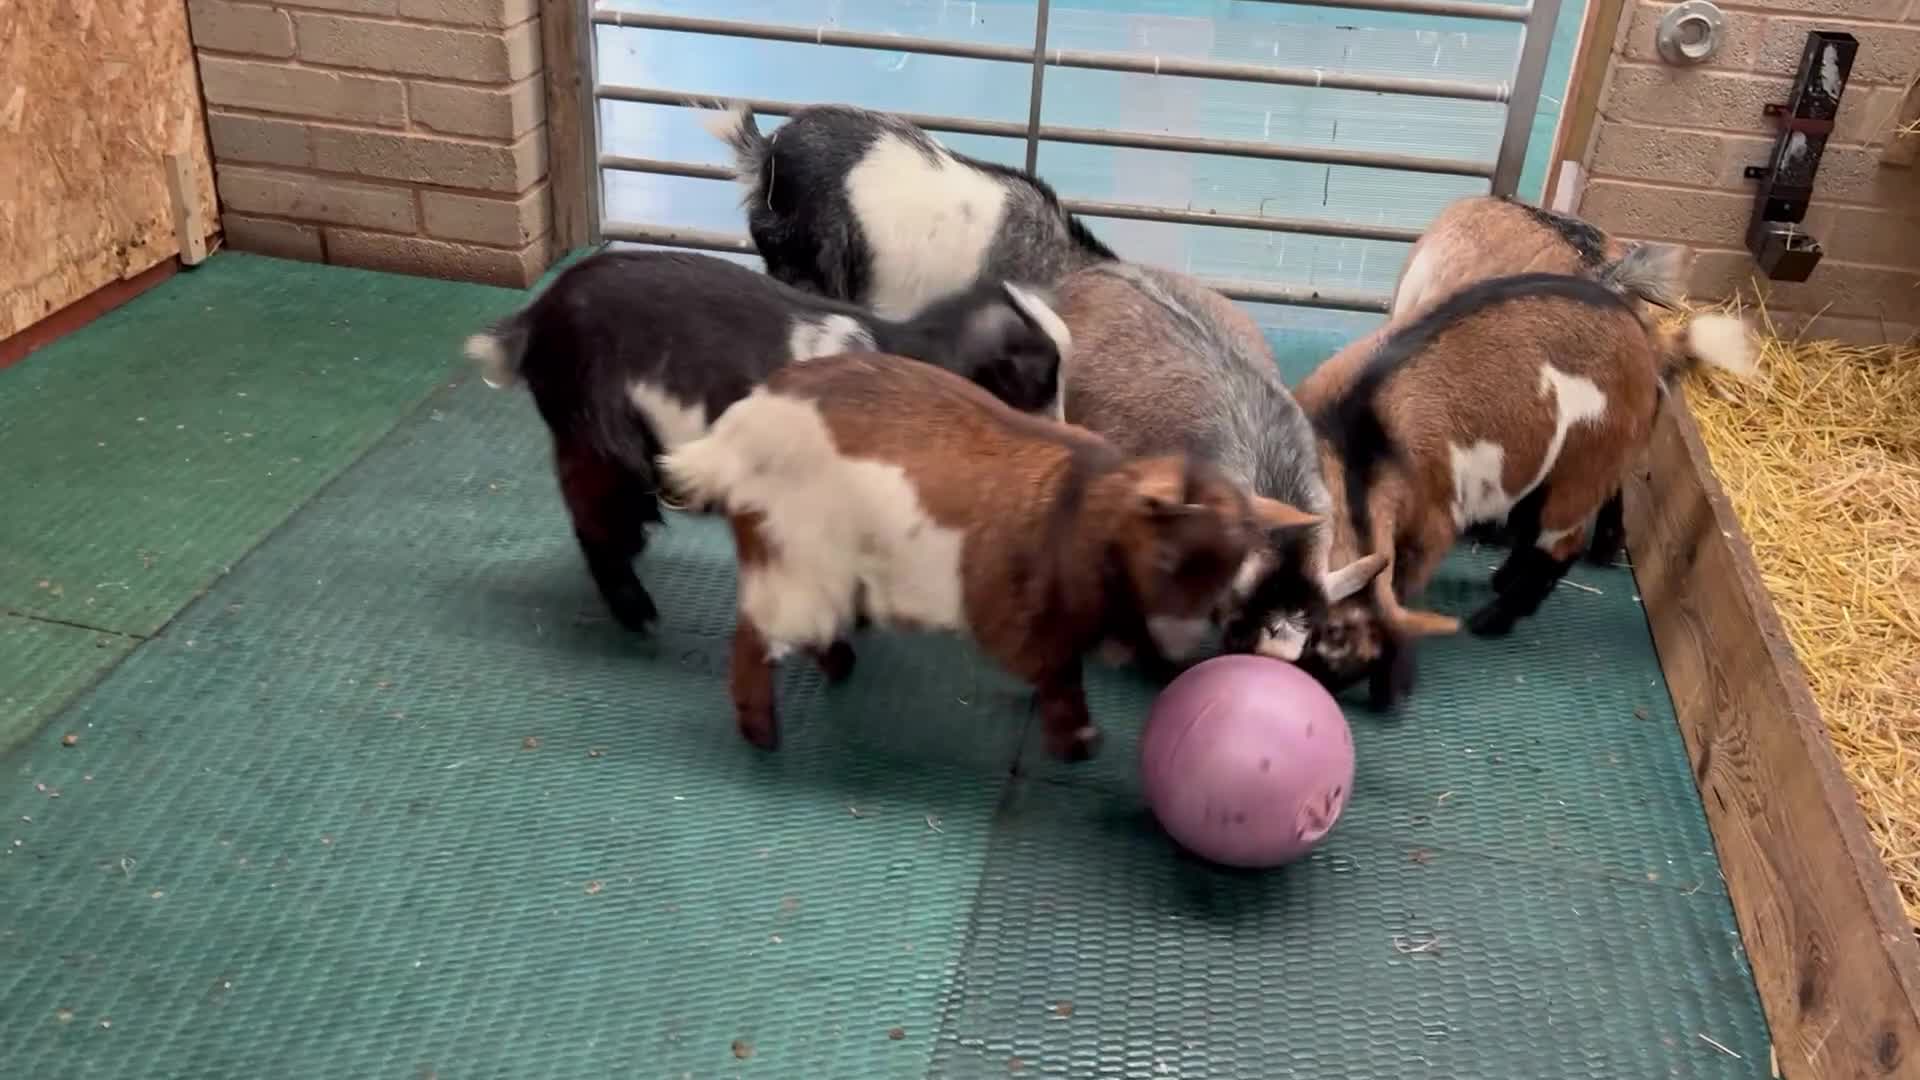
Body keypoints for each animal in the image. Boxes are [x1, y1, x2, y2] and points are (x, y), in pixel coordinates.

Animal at [465, 249, 1072, 633]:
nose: (1065, 436)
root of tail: (533, 321)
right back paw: (637, 612)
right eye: (1034, 381)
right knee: (594, 519)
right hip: (597, 437)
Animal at [657, 353, 1314, 759]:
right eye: (1169, 561)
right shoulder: (1026, 616)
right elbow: (1059, 675)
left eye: (1227, 573)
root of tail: (728, 441)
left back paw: (838, 663)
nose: (1180, 646)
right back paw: (761, 731)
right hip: (792, 558)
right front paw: (1078, 742)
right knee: (754, 638)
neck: (1083, 508)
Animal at [1290, 272, 1756, 708]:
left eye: (1334, 636)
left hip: (1584, 461)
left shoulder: (1431, 522)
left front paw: (1392, 687)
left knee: (1561, 544)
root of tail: (1649, 344)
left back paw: (1493, 621)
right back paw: (1513, 577)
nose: (1318, 684)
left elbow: (1403, 591)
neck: (1355, 440)